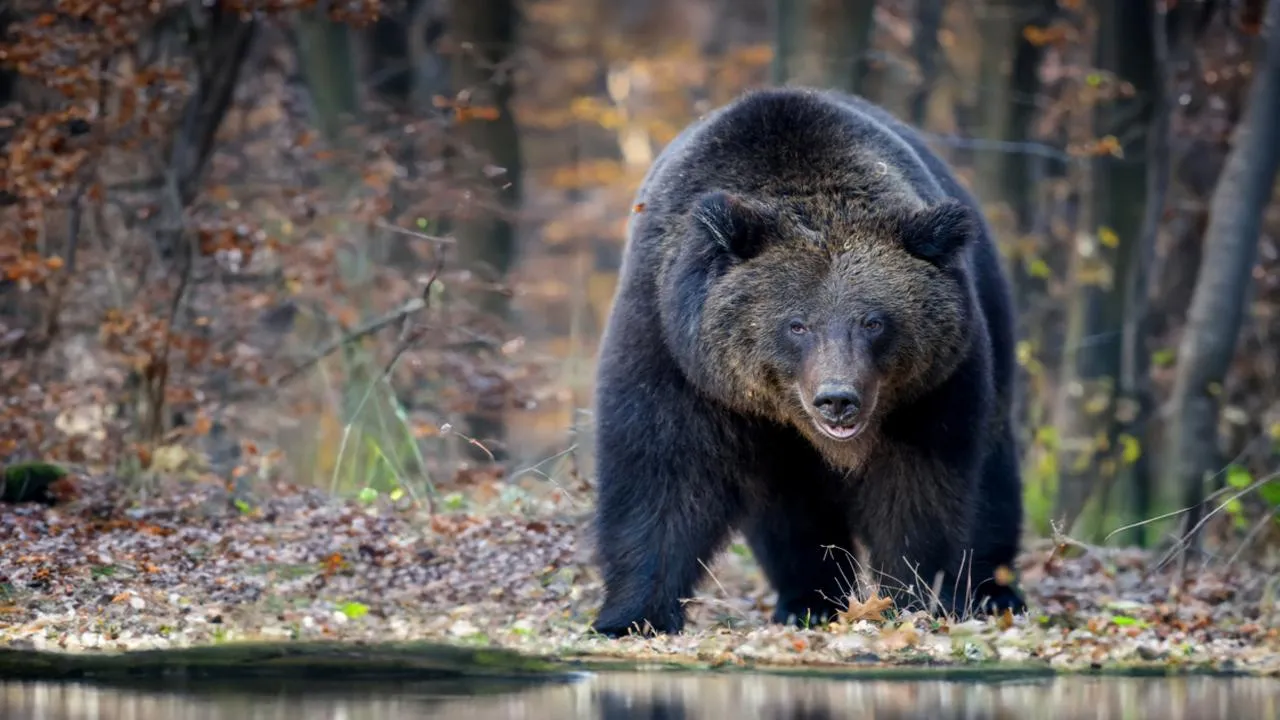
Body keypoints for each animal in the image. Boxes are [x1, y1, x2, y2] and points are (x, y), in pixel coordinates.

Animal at [589, 86, 1027, 638]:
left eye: (873, 321)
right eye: (797, 324)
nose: (838, 398)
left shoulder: (931, 389)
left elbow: (918, 489)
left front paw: (913, 599)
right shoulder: (676, 349)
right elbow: (661, 470)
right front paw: (632, 615)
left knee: (993, 475)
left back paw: (994, 590)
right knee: (789, 512)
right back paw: (809, 600)